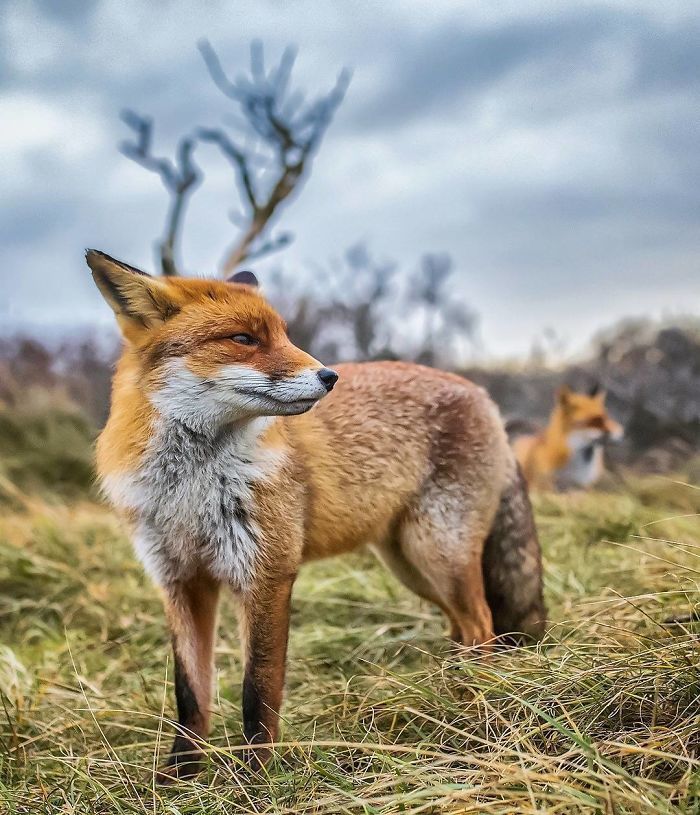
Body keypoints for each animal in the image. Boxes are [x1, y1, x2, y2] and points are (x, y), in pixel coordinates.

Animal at [86, 250, 548, 784]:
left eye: (284, 335)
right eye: (244, 339)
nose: (329, 376)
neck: (189, 488)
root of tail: (481, 393)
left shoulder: (266, 573)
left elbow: (258, 691)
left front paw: (255, 779)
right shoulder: (180, 581)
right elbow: (191, 695)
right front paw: (178, 778)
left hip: (438, 554)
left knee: (482, 625)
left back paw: (475, 703)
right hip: (411, 565)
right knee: (466, 627)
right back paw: (449, 695)